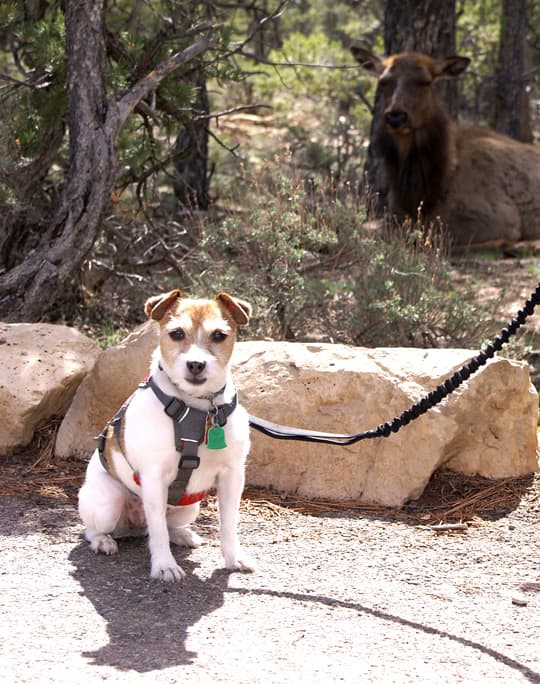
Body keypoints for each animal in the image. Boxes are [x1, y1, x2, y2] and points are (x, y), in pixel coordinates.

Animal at [78, 288, 258, 584]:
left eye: (219, 335)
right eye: (176, 333)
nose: (195, 364)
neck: (198, 409)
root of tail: (133, 526)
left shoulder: (233, 475)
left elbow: (229, 523)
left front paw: (234, 557)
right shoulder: (153, 478)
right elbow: (158, 531)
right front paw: (164, 565)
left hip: (189, 507)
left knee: (164, 526)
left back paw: (183, 534)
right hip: (109, 503)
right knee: (96, 530)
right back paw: (104, 541)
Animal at [350, 46, 540, 247]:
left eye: (425, 82)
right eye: (383, 81)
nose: (396, 116)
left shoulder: (501, 217)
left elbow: (423, 233)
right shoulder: (396, 212)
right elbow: (365, 224)